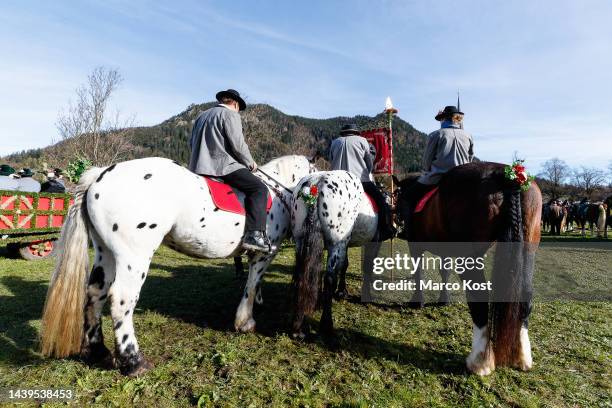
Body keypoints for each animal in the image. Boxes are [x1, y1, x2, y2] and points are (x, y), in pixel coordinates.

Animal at [39, 155, 316, 376]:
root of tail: (100, 176)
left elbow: (252, 283)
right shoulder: (264, 254)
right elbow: (251, 283)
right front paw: (244, 321)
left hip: (104, 252)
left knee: (95, 295)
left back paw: (98, 351)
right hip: (134, 255)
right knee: (121, 301)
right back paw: (133, 362)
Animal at [392, 163, 540, 376]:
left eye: (396, 195)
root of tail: (505, 173)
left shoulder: (415, 245)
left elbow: (419, 272)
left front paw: (417, 300)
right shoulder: (445, 250)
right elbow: (444, 272)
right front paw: (443, 299)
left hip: (469, 258)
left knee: (480, 299)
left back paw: (480, 361)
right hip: (528, 250)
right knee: (525, 295)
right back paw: (522, 356)